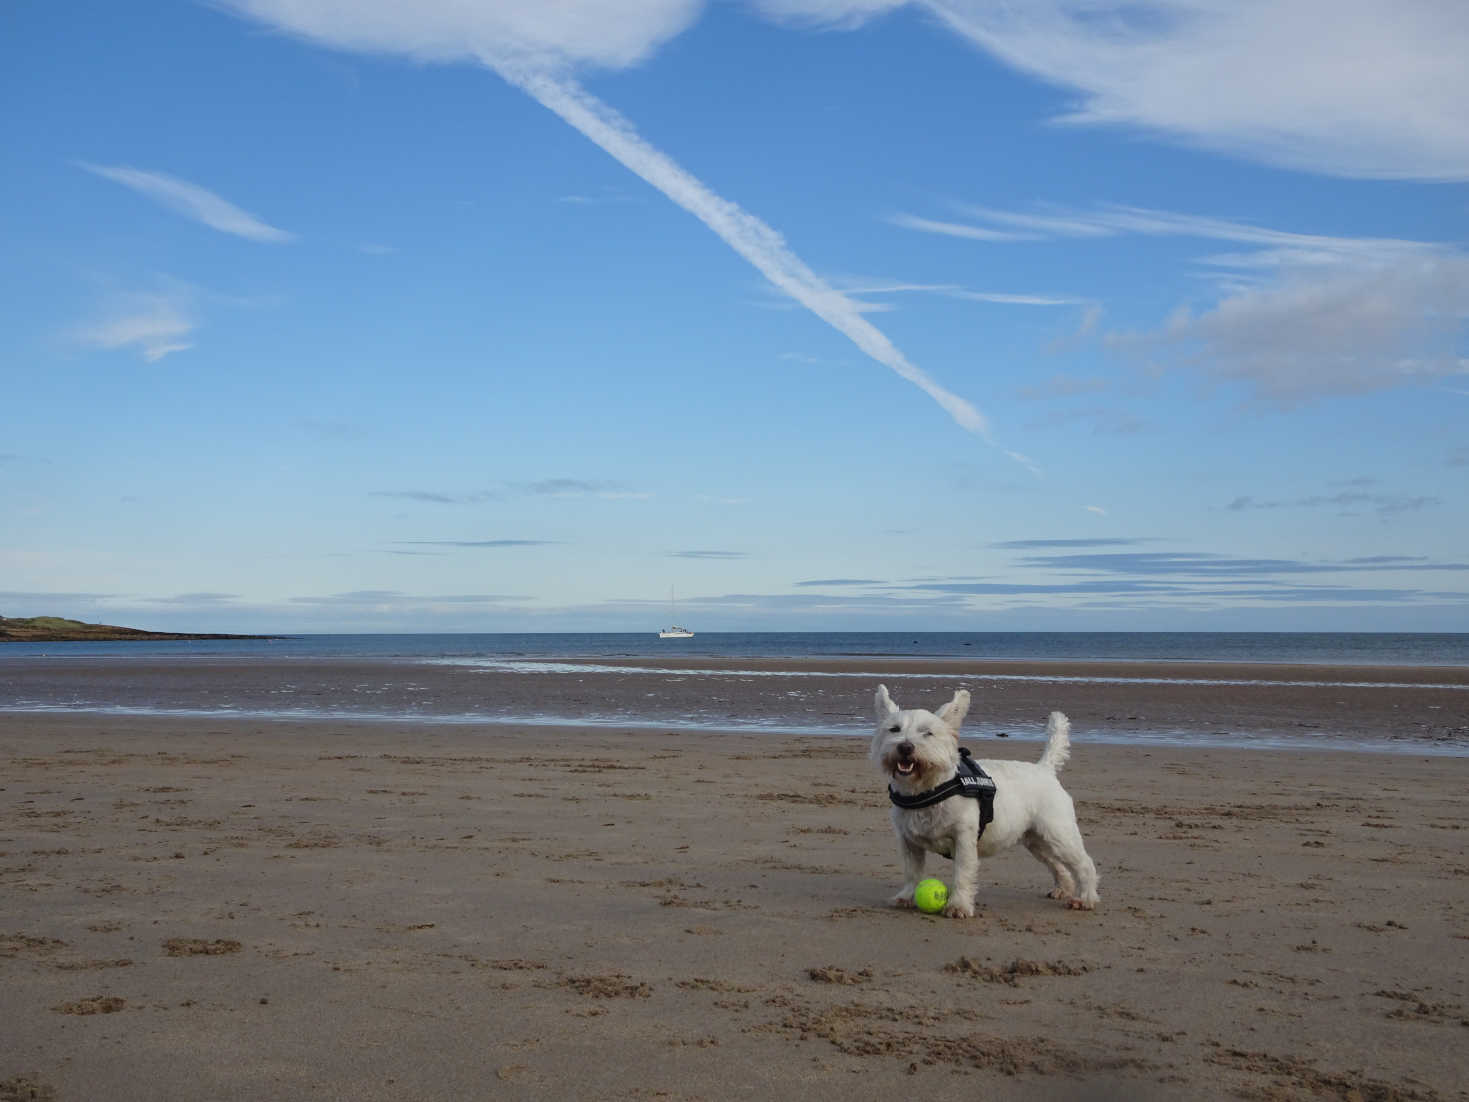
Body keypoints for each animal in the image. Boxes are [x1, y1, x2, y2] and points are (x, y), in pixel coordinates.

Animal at [863, 687, 1098, 916]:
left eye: (928, 732)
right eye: (894, 729)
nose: (905, 747)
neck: (925, 790)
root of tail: (1044, 768)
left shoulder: (964, 839)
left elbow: (962, 873)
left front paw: (958, 906)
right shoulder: (909, 841)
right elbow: (912, 872)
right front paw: (906, 896)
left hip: (1059, 833)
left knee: (1084, 864)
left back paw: (1085, 898)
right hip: (1035, 840)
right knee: (1057, 863)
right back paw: (1062, 889)